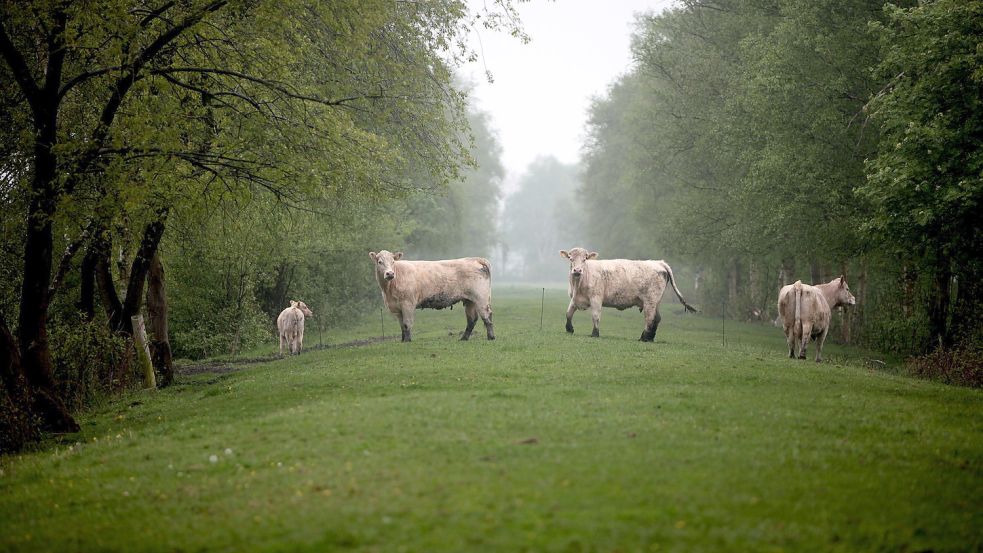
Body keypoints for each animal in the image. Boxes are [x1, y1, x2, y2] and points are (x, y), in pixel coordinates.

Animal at [368, 249, 496, 340]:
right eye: (379, 262)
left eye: (393, 261)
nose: (390, 273)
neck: (389, 290)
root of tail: (475, 259)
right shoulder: (396, 308)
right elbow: (402, 326)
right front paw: (403, 341)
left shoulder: (408, 304)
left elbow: (407, 324)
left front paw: (408, 341)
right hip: (469, 300)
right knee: (471, 319)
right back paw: (463, 338)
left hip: (481, 298)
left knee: (487, 315)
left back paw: (491, 337)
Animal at [560, 247, 700, 340]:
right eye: (571, 259)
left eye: (584, 259)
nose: (577, 270)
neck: (578, 284)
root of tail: (658, 262)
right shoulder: (574, 298)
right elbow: (568, 313)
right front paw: (569, 329)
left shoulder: (596, 298)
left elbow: (595, 316)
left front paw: (595, 334)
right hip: (656, 301)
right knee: (657, 318)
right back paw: (650, 338)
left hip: (650, 300)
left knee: (649, 317)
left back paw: (643, 338)